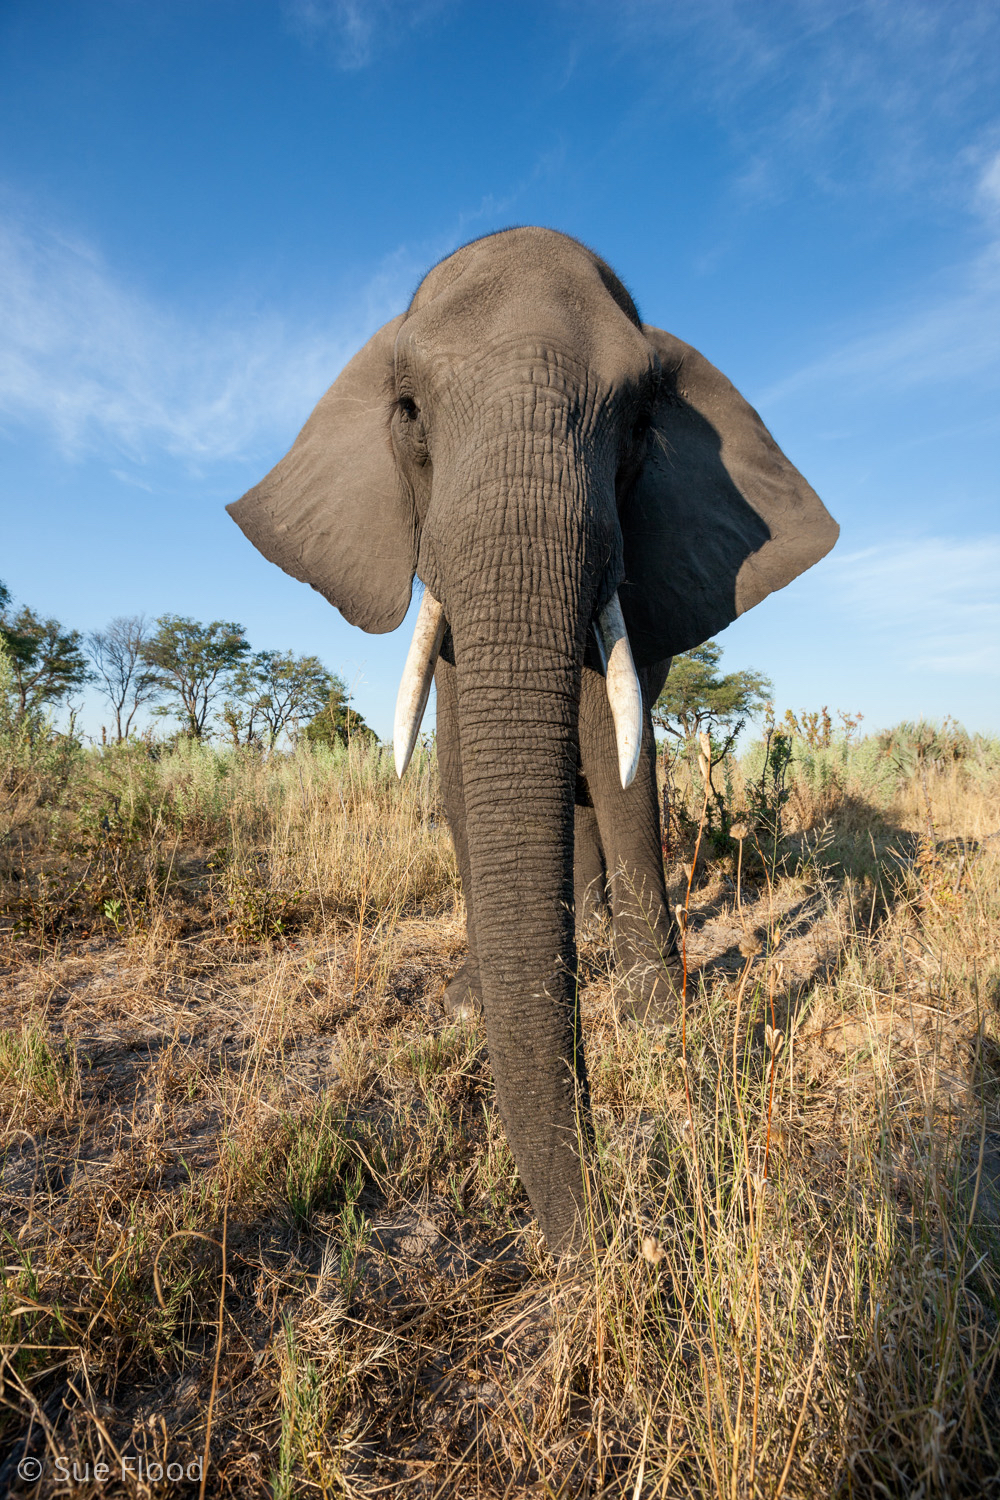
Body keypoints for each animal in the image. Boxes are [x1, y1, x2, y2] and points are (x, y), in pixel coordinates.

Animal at [229, 225, 839, 1254]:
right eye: (408, 412)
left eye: (637, 426)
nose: (612, 1234)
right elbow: (461, 775)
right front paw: (473, 1003)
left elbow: (612, 747)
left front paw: (652, 1015)